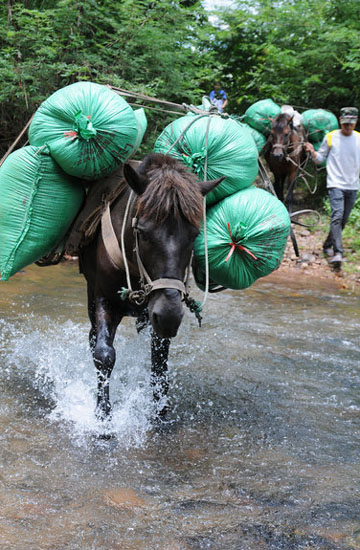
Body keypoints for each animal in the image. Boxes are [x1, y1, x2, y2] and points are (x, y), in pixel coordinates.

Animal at [79, 155, 222, 422]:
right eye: (142, 232)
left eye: (195, 235)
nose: (168, 316)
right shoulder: (104, 298)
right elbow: (103, 354)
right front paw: (103, 416)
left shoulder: (157, 313)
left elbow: (159, 362)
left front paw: (159, 411)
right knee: (94, 339)